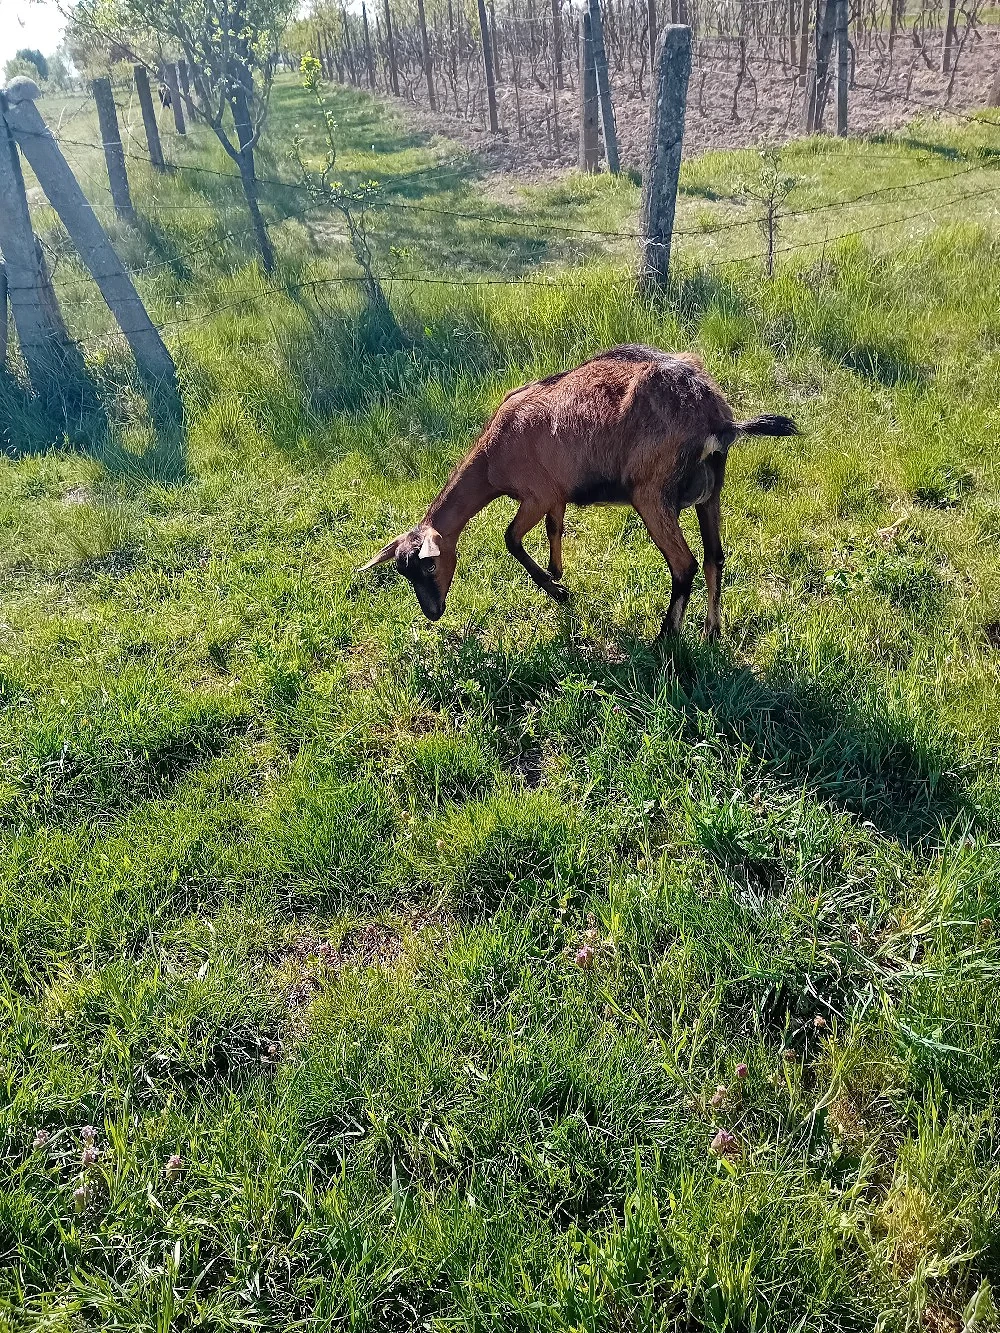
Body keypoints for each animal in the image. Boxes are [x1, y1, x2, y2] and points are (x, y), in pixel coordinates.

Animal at [360, 345, 798, 639]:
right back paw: (711, 632)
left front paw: (558, 592)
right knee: (714, 558)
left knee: (684, 564)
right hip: (711, 493)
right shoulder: (555, 497)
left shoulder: (536, 495)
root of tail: (716, 419)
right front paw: (557, 576)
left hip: (650, 493)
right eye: (403, 571)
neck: (493, 453)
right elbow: (554, 531)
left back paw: (664, 639)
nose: (433, 612)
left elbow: (511, 539)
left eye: (429, 566)